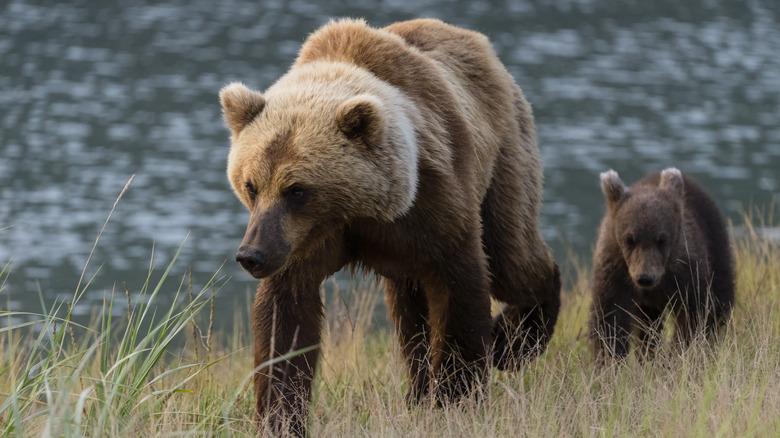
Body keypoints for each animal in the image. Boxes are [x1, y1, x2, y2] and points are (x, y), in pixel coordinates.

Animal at [219, 18, 560, 434]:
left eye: (296, 190)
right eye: (251, 185)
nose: (250, 255)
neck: (357, 212)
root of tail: (476, 40)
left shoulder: (432, 205)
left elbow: (459, 287)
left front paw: (456, 398)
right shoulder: (305, 243)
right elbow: (286, 318)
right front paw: (280, 417)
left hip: (502, 156)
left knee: (512, 256)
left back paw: (511, 340)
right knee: (411, 314)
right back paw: (420, 389)